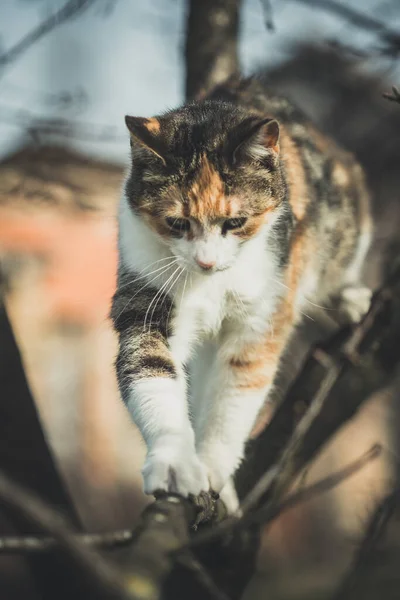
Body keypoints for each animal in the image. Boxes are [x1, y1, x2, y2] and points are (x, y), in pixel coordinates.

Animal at [110, 75, 372, 510]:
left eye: (235, 222)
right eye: (176, 223)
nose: (206, 261)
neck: (212, 284)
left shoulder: (262, 316)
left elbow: (237, 392)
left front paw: (214, 469)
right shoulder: (145, 298)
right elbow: (151, 368)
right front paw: (174, 464)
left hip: (343, 219)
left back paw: (350, 298)